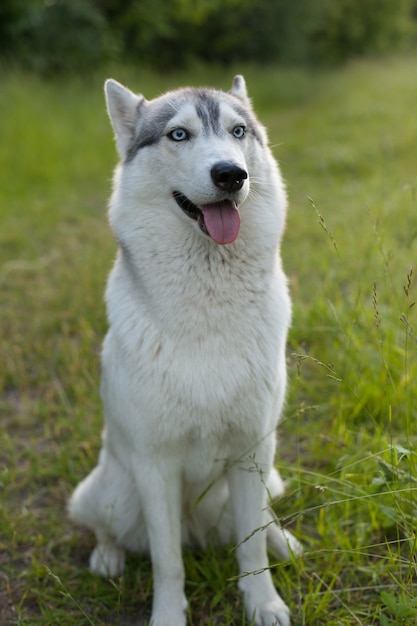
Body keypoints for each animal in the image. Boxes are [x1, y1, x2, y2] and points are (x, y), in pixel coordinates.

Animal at [70, 74, 300, 624]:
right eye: (179, 134)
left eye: (239, 132)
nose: (231, 175)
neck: (208, 306)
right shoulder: (156, 466)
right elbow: (167, 561)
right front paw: (169, 616)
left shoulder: (252, 450)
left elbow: (250, 547)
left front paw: (263, 603)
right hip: (110, 495)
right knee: (110, 530)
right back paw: (107, 558)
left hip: (256, 479)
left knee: (263, 516)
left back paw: (283, 542)